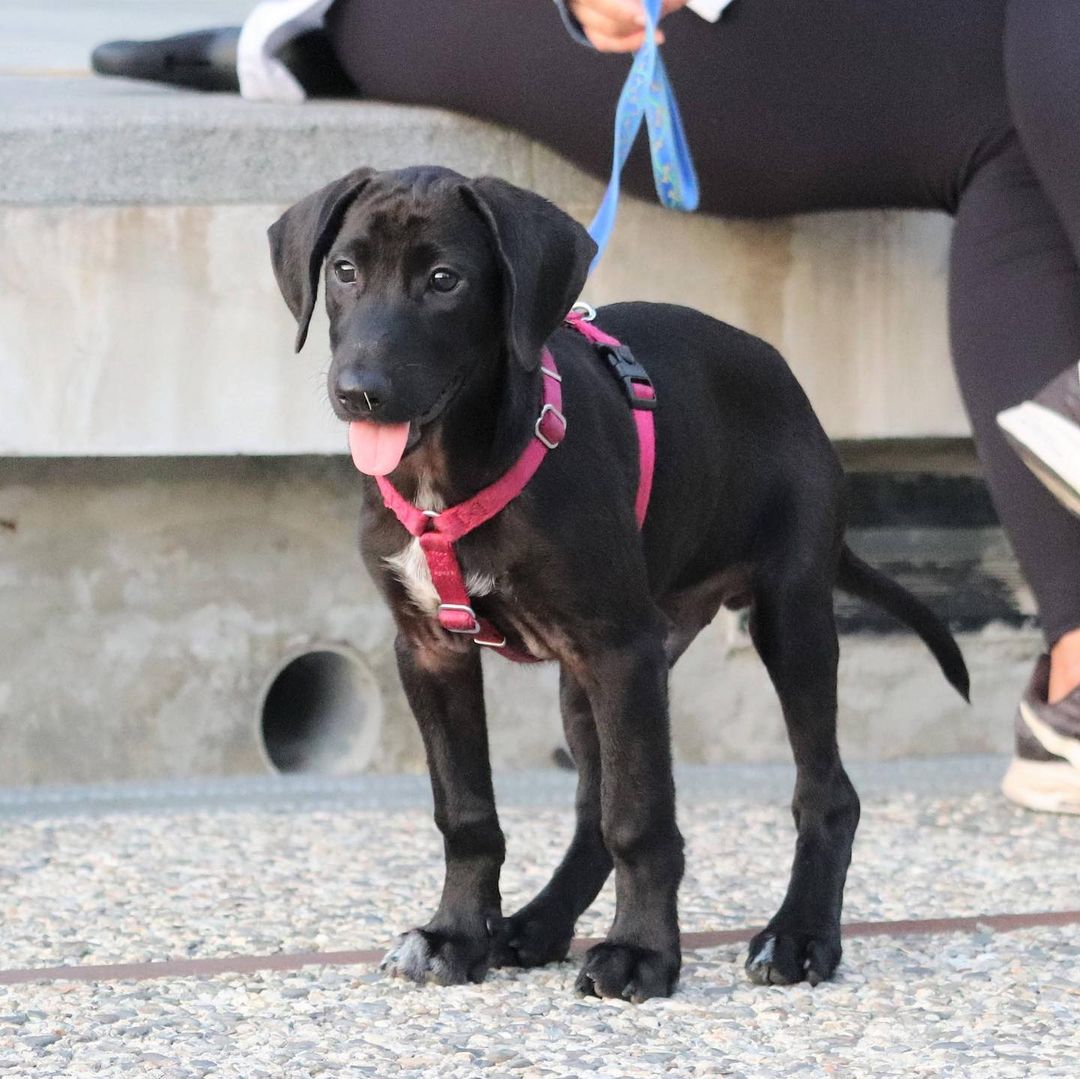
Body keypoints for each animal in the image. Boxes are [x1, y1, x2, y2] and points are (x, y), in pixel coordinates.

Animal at [270, 164, 972, 997]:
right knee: (590, 811)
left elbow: (638, 815)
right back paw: (537, 923)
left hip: (785, 616)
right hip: (595, 677)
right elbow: (467, 812)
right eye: (345, 270)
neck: (448, 472)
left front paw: (642, 950)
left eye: (445, 281)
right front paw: (456, 934)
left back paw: (800, 934)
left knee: (825, 792)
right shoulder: (433, 648)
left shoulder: (618, 648)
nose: (360, 391)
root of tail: (791, 386)